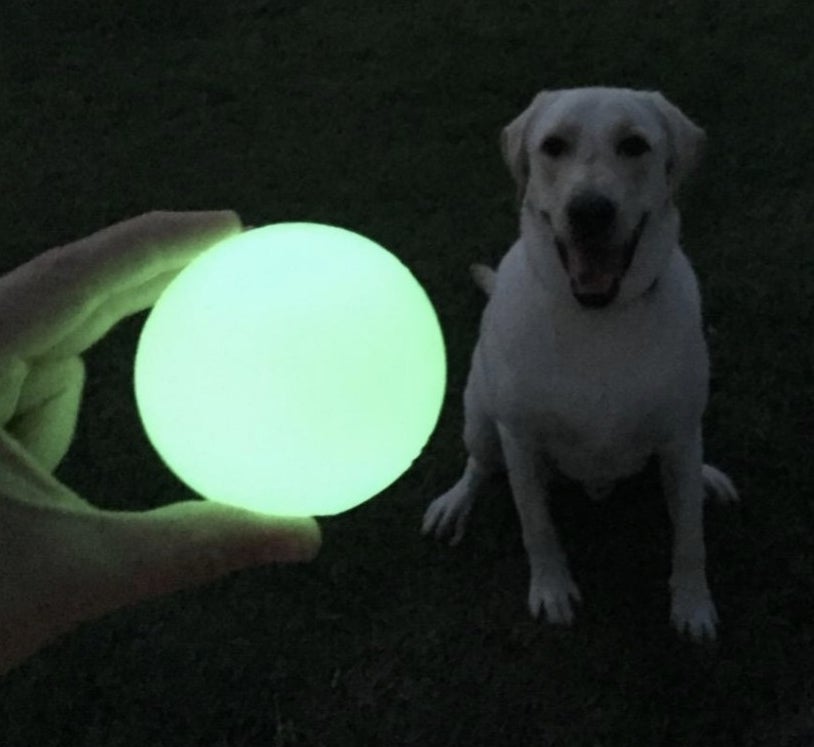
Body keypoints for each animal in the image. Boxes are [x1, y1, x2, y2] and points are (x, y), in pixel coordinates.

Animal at [424, 84, 744, 640]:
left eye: (635, 145)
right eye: (553, 146)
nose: (590, 211)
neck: (597, 318)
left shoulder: (680, 430)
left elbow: (689, 535)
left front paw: (693, 603)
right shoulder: (519, 438)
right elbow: (536, 524)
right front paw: (552, 589)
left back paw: (706, 477)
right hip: (480, 419)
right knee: (480, 463)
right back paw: (456, 501)